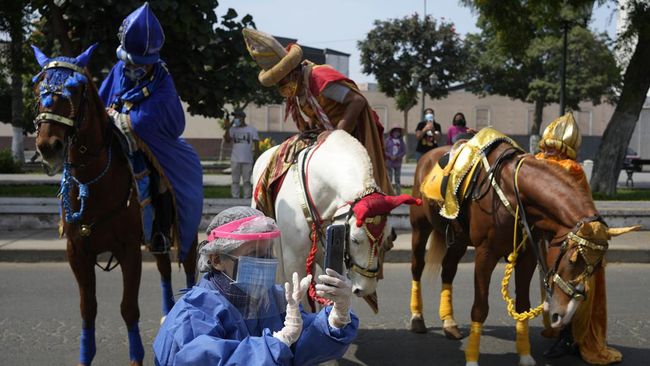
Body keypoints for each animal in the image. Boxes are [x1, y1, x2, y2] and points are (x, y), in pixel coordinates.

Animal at [31, 44, 196, 364]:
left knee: (192, 269)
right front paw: (85, 356)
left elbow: (128, 309)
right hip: (155, 238)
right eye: (37, 87)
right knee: (164, 269)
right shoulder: (77, 252)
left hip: (187, 230)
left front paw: (136, 357)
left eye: (75, 89)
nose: (48, 146)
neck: (92, 181)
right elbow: (87, 309)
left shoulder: (128, 249)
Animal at [404, 134, 632, 366]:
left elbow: (523, 304)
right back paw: (417, 318)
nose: (564, 314)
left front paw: (525, 355)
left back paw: (449, 323)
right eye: (572, 260)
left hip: (458, 239)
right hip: (420, 227)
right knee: (417, 267)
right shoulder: (485, 254)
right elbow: (480, 308)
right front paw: (472, 358)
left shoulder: (528, 256)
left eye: (597, 266)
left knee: (448, 270)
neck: (513, 193)